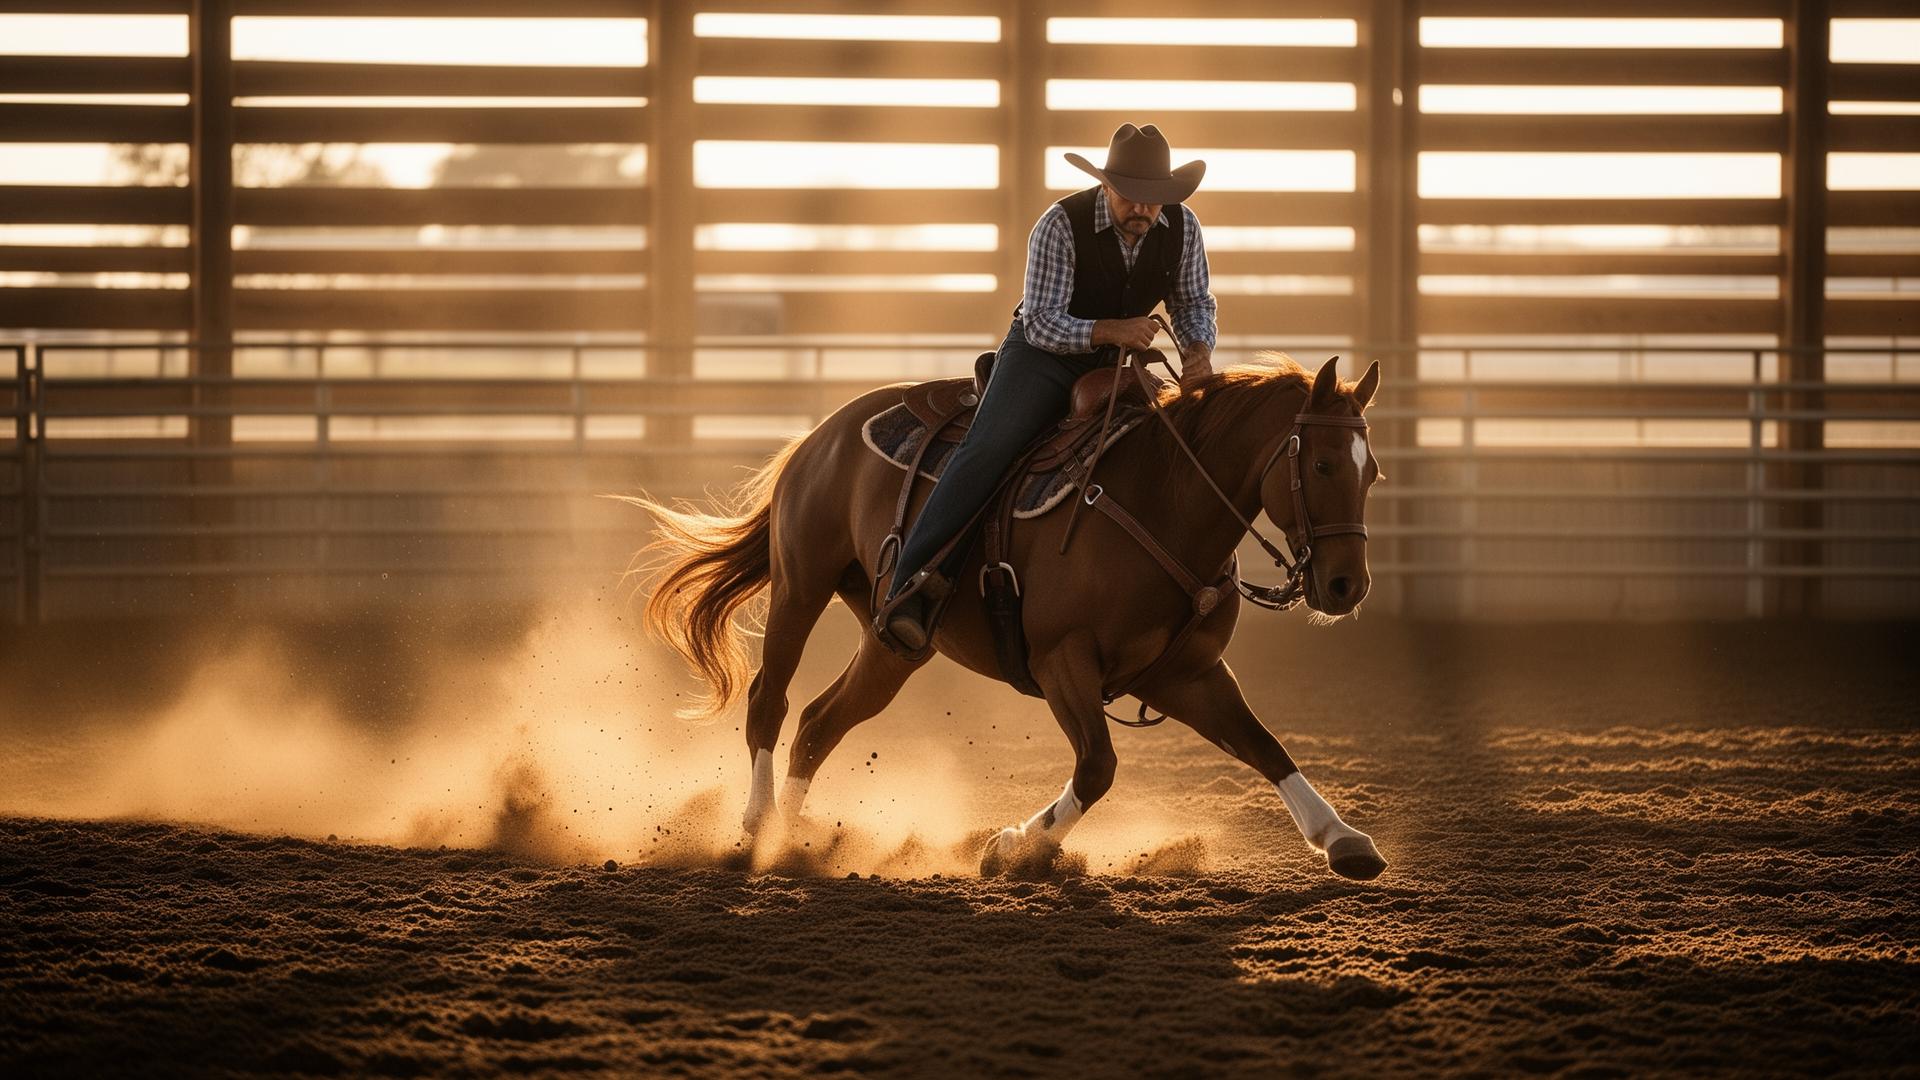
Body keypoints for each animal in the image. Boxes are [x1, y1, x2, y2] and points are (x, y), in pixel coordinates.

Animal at [629, 350, 1388, 880]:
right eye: (1322, 465)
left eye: (1372, 470)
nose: (1346, 585)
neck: (1162, 502)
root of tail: (825, 432)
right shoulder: (1063, 662)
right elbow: (1098, 767)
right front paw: (1014, 848)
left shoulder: (1188, 675)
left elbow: (1266, 747)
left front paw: (1343, 839)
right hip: (800, 583)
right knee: (771, 700)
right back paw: (756, 833)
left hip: (894, 644)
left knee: (820, 722)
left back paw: (795, 842)